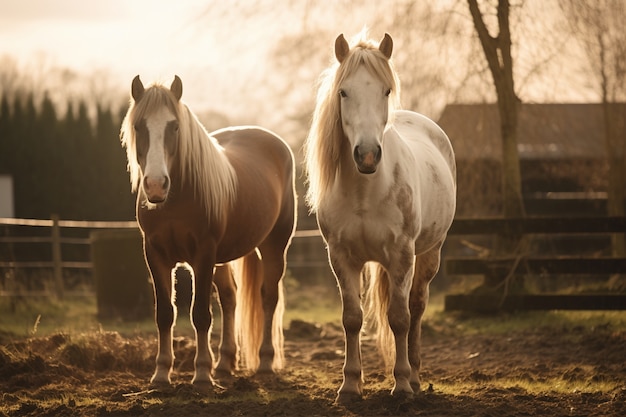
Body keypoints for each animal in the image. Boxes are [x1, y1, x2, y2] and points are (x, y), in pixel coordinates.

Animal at [119, 75, 294, 386]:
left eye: (175, 126)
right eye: (138, 126)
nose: (155, 185)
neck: (176, 200)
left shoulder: (203, 254)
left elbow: (200, 314)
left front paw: (201, 374)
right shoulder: (155, 255)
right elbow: (165, 314)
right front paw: (161, 374)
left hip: (274, 245)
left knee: (268, 297)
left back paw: (264, 362)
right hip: (223, 259)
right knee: (230, 299)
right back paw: (224, 364)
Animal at [304, 30, 456, 402]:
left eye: (386, 90)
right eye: (344, 92)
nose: (368, 155)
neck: (365, 191)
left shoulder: (401, 256)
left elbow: (399, 318)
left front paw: (400, 386)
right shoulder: (342, 258)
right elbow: (351, 319)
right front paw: (349, 386)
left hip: (429, 255)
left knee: (416, 308)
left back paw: (414, 377)